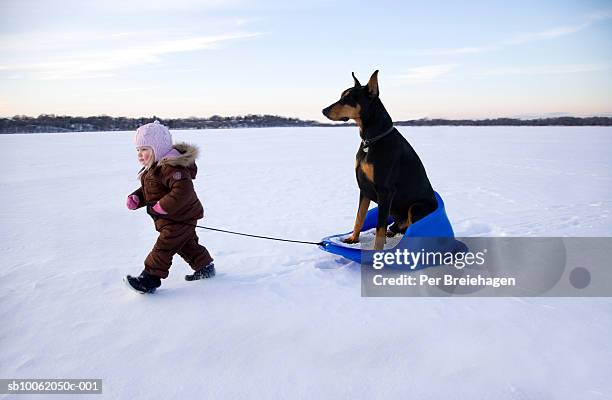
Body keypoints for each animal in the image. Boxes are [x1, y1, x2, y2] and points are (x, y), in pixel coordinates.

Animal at [322, 69, 438, 250]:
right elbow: (359, 218)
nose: (324, 110)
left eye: (348, 99)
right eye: (341, 96)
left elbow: (379, 227)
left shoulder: (385, 190)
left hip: (417, 207)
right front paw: (353, 239)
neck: (371, 139)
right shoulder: (364, 188)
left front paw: (377, 252)